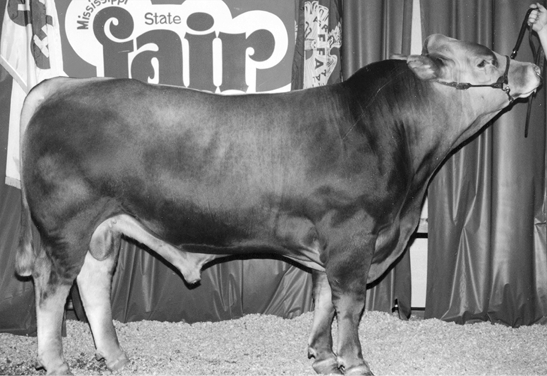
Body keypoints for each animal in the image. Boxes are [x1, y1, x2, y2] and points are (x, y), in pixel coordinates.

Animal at [16, 33, 540, 374]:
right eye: (485, 63)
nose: (533, 68)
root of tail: (65, 85)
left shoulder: (334, 242)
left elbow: (325, 298)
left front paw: (323, 356)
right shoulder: (352, 233)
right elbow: (350, 303)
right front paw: (356, 362)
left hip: (104, 227)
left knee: (92, 282)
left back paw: (116, 356)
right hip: (67, 224)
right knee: (52, 287)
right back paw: (56, 363)